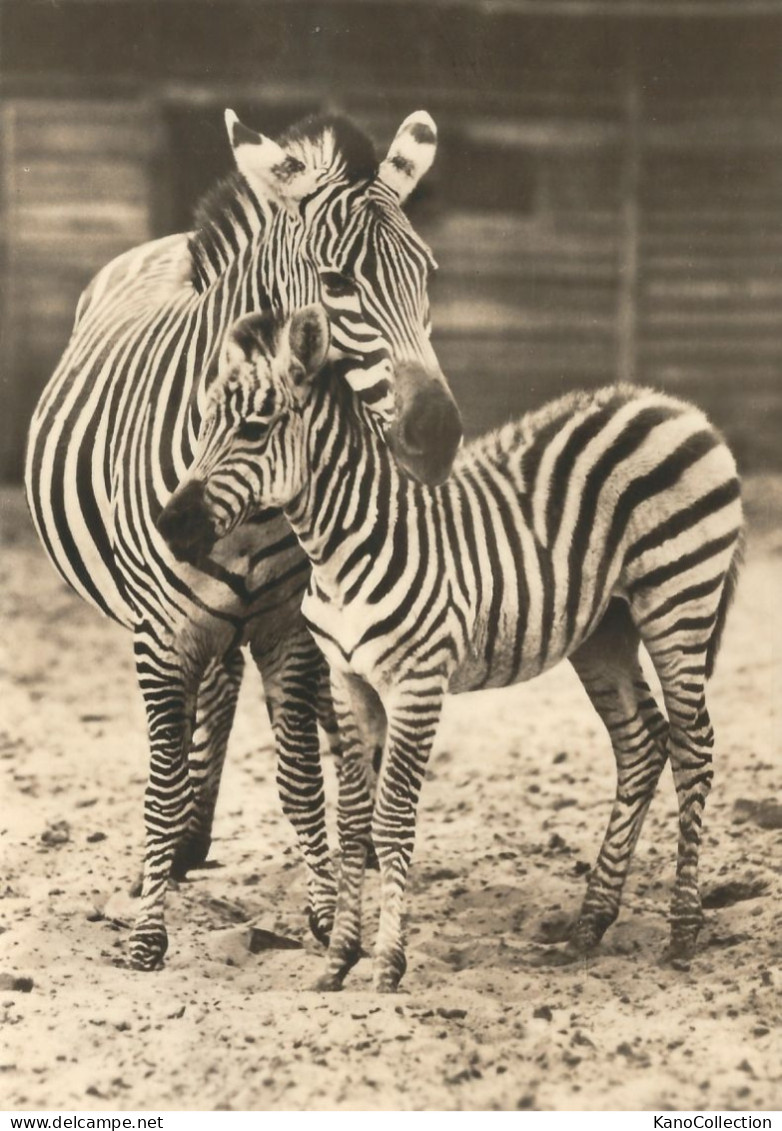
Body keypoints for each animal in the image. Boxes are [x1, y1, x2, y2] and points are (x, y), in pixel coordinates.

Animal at [26, 108, 463, 972]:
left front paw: (326, 914)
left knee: (229, 693)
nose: (437, 432)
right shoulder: (160, 635)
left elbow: (299, 776)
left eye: (427, 272)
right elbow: (160, 776)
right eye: (337, 282)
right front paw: (147, 932)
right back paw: (175, 851)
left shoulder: (288, 628)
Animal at [160, 307, 746, 990]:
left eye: (254, 428)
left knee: (693, 746)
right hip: (605, 627)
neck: (342, 550)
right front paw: (338, 960)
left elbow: (392, 821)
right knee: (642, 744)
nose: (170, 525)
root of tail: (675, 406)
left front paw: (388, 965)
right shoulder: (350, 681)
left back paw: (682, 932)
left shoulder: (416, 684)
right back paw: (589, 925)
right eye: (203, 423)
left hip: (678, 599)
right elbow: (353, 821)